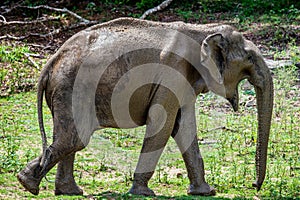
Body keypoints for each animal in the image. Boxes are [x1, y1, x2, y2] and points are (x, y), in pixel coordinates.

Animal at [17, 17, 274, 197]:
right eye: (250, 58)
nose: (254, 185)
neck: (202, 30)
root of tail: (51, 61)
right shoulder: (172, 71)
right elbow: (163, 124)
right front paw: (143, 193)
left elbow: (183, 127)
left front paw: (206, 192)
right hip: (72, 88)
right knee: (74, 139)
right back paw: (29, 184)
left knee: (71, 138)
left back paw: (59, 189)